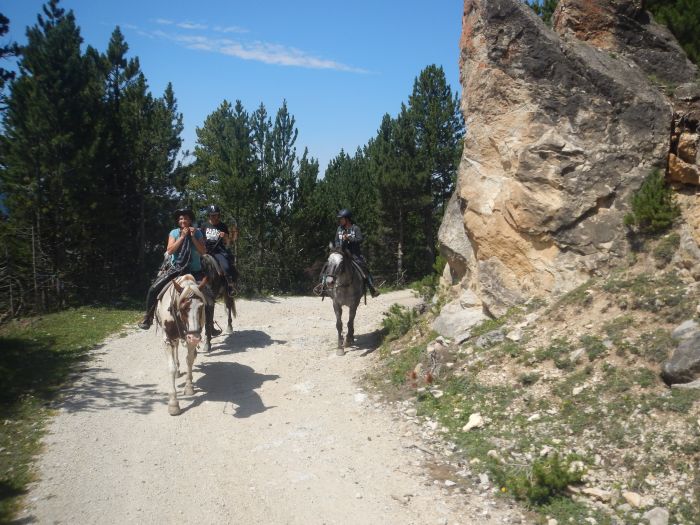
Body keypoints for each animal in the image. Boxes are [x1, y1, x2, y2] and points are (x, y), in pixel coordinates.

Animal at [154, 274, 206, 414]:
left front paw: (189, 387)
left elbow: (189, 360)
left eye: (201, 307)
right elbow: (171, 368)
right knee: (175, 348)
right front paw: (173, 403)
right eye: (183, 308)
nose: (195, 337)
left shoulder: (190, 339)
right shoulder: (167, 340)